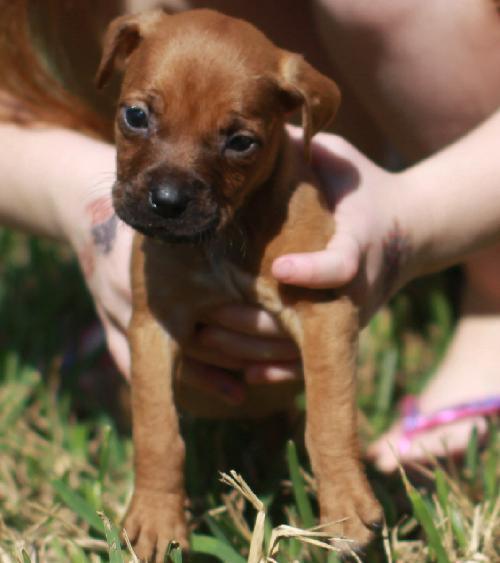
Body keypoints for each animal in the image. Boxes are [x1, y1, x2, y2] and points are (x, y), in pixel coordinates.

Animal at [96, 6, 382, 560]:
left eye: (240, 143)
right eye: (136, 116)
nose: (167, 202)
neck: (225, 237)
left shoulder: (323, 309)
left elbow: (330, 417)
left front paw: (343, 504)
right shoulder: (152, 327)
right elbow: (157, 429)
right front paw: (156, 517)